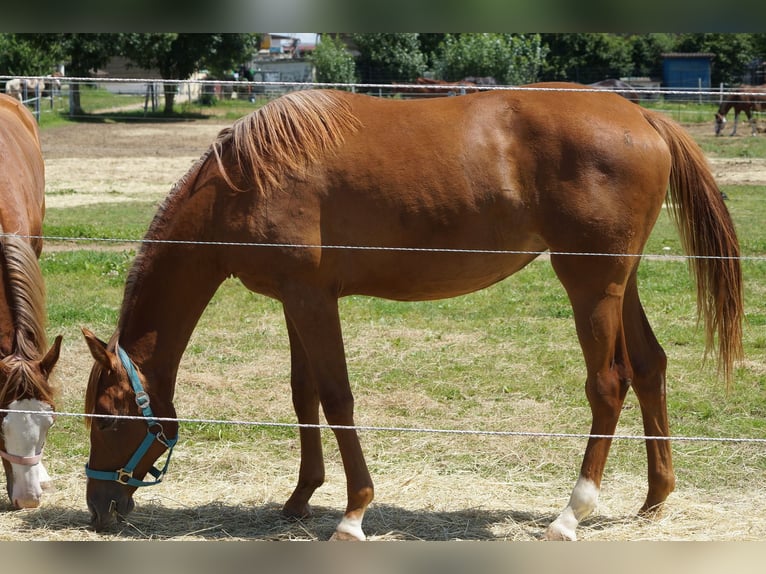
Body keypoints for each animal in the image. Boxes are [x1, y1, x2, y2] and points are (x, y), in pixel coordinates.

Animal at [82, 83, 744, 544]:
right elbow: (304, 396)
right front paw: (299, 499)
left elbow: (337, 399)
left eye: (108, 420)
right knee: (651, 367)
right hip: (618, 285)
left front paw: (353, 513)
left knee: (609, 385)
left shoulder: (313, 301)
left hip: (589, 286)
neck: (243, 181)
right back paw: (655, 499)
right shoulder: (296, 301)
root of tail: (641, 116)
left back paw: (569, 515)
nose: (100, 509)